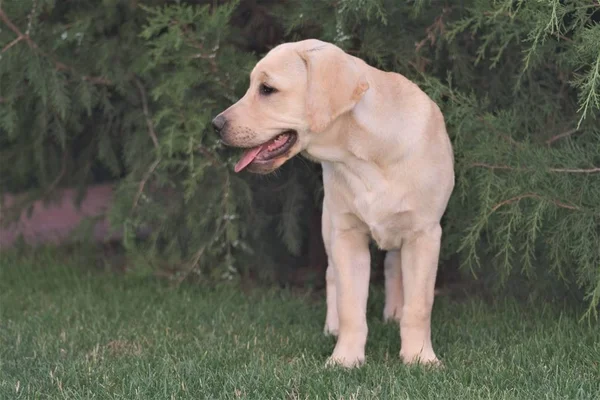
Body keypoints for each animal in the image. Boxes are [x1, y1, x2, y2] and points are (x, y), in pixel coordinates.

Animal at [213, 39, 452, 368]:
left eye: (267, 89)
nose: (215, 125)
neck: (365, 154)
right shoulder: (347, 234)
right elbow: (351, 305)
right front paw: (345, 359)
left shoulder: (425, 234)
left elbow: (419, 306)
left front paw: (419, 358)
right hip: (330, 223)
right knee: (332, 276)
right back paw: (333, 327)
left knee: (394, 265)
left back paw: (394, 314)